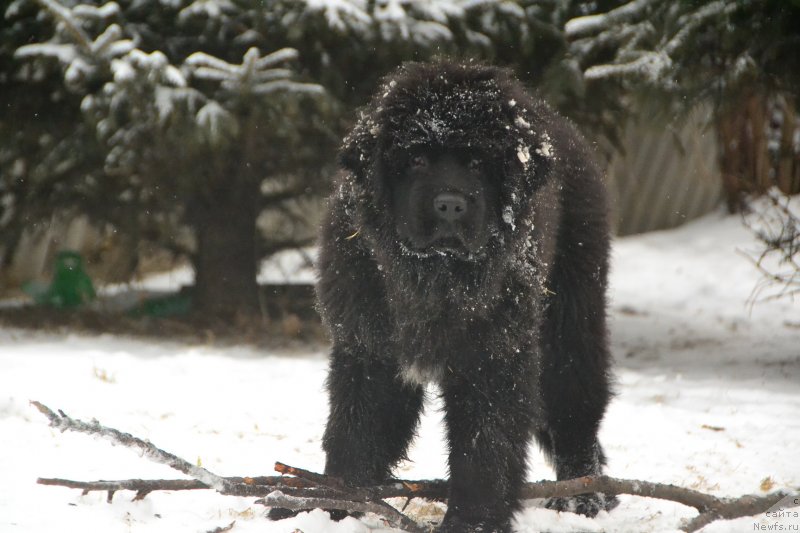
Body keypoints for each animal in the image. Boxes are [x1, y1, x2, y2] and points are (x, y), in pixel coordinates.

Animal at [312, 61, 612, 532]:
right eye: (416, 159)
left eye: (477, 162)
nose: (450, 205)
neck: (436, 279)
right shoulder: (368, 350)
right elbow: (355, 432)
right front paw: (331, 508)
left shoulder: (493, 357)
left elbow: (484, 447)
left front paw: (474, 522)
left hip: (570, 324)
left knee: (575, 409)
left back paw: (583, 497)